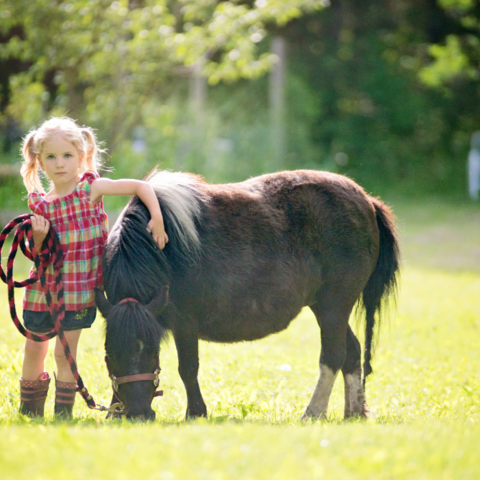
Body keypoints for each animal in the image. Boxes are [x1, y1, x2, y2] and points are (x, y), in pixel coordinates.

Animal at [95, 169, 400, 420]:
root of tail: (368, 203)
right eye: (110, 352)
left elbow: (188, 368)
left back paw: (313, 412)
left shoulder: (185, 323)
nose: (136, 414)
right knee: (353, 351)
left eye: (152, 350)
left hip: (333, 306)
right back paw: (354, 411)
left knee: (334, 355)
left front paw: (196, 412)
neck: (161, 250)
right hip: (326, 308)